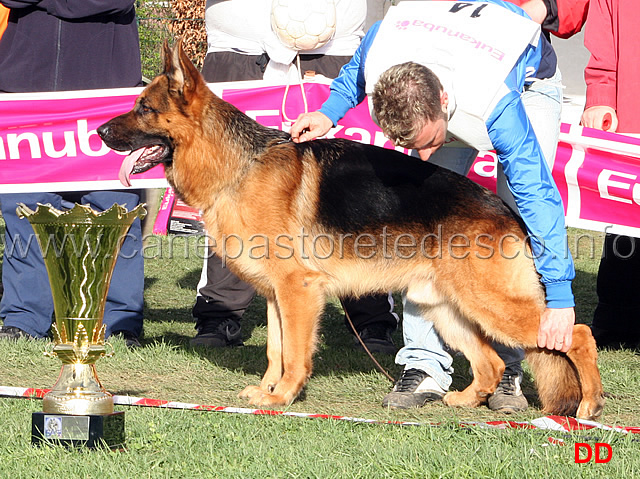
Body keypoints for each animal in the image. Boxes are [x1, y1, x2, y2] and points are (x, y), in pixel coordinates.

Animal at [99, 39, 604, 418]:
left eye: (144, 108)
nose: (101, 133)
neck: (238, 165)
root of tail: (506, 211)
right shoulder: (277, 295)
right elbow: (275, 349)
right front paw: (267, 391)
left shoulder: (299, 291)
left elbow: (294, 352)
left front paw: (285, 396)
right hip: (445, 306)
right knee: (492, 361)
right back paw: (461, 400)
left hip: (490, 303)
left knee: (576, 333)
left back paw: (589, 406)